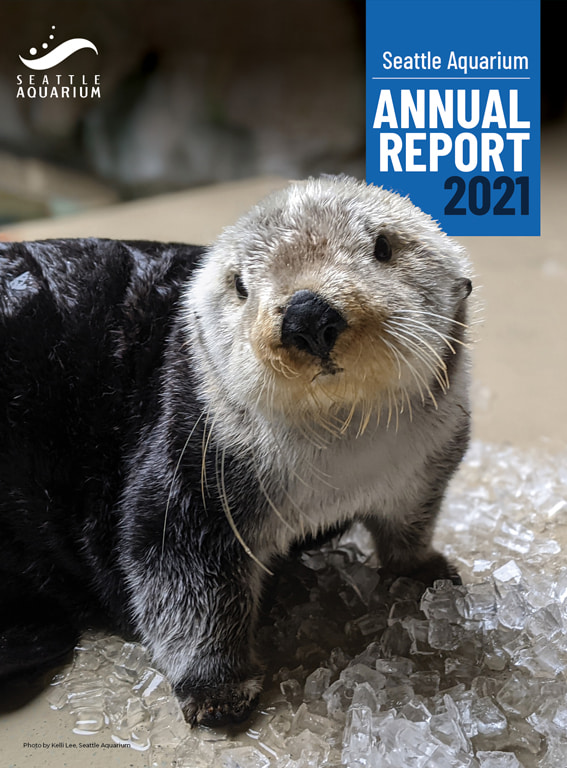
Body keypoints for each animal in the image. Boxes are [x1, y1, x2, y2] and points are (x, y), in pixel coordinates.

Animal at [0, 176, 473, 725]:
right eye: (240, 285)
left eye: (382, 247)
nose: (307, 313)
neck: (342, 449)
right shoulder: (192, 466)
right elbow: (178, 576)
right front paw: (216, 691)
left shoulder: (429, 460)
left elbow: (409, 521)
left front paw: (424, 570)